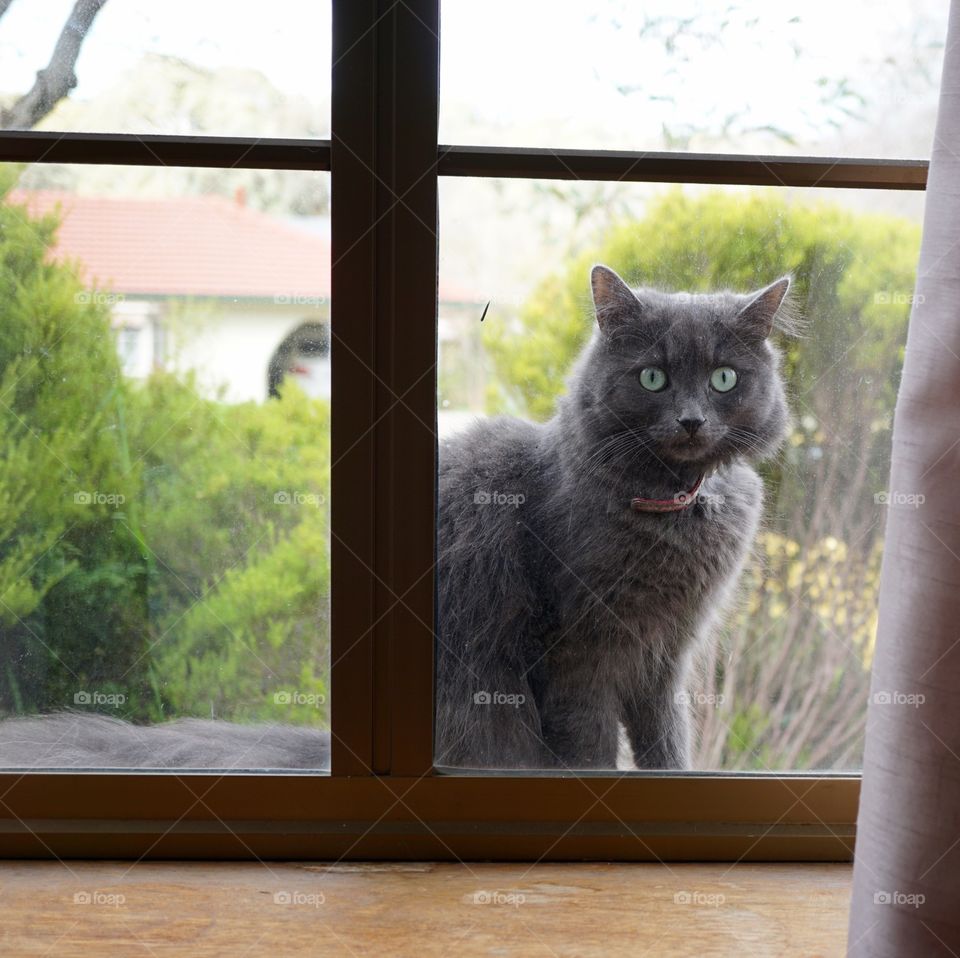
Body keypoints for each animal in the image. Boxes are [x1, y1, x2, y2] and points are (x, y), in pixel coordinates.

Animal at [438, 264, 792, 772]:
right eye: (652, 377)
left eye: (724, 378)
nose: (691, 420)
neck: (671, 509)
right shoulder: (579, 657)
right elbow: (591, 749)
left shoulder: (665, 656)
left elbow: (667, 741)